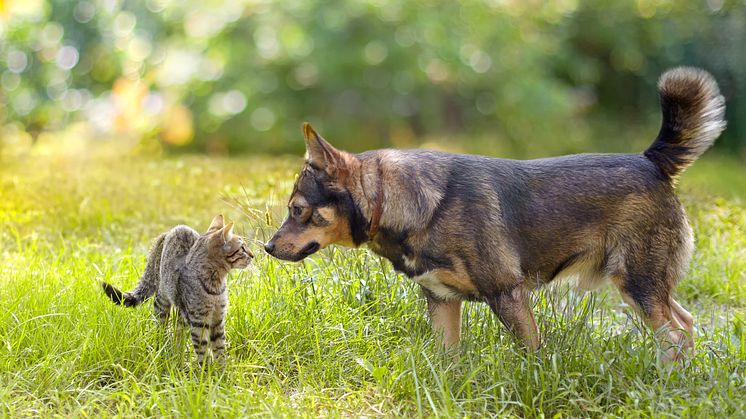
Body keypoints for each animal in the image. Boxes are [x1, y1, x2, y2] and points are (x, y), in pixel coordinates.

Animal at [101, 215, 253, 366]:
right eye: (242, 248)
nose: (252, 255)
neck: (216, 285)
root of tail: (169, 231)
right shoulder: (199, 322)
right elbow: (203, 352)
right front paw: (207, 371)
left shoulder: (218, 319)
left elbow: (220, 350)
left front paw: (221, 370)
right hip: (162, 303)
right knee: (161, 330)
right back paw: (162, 351)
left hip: (182, 313)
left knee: (178, 334)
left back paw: (178, 357)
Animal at [262, 67, 720, 362]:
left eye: (298, 210)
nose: (266, 247)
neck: (410, 205)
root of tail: (651, 161)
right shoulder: (442, 302)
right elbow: (446, 362)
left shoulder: (508, 295)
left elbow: (533, 356)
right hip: (646, 287)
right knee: (685, 326)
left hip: (638, 282)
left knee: (677, 333)